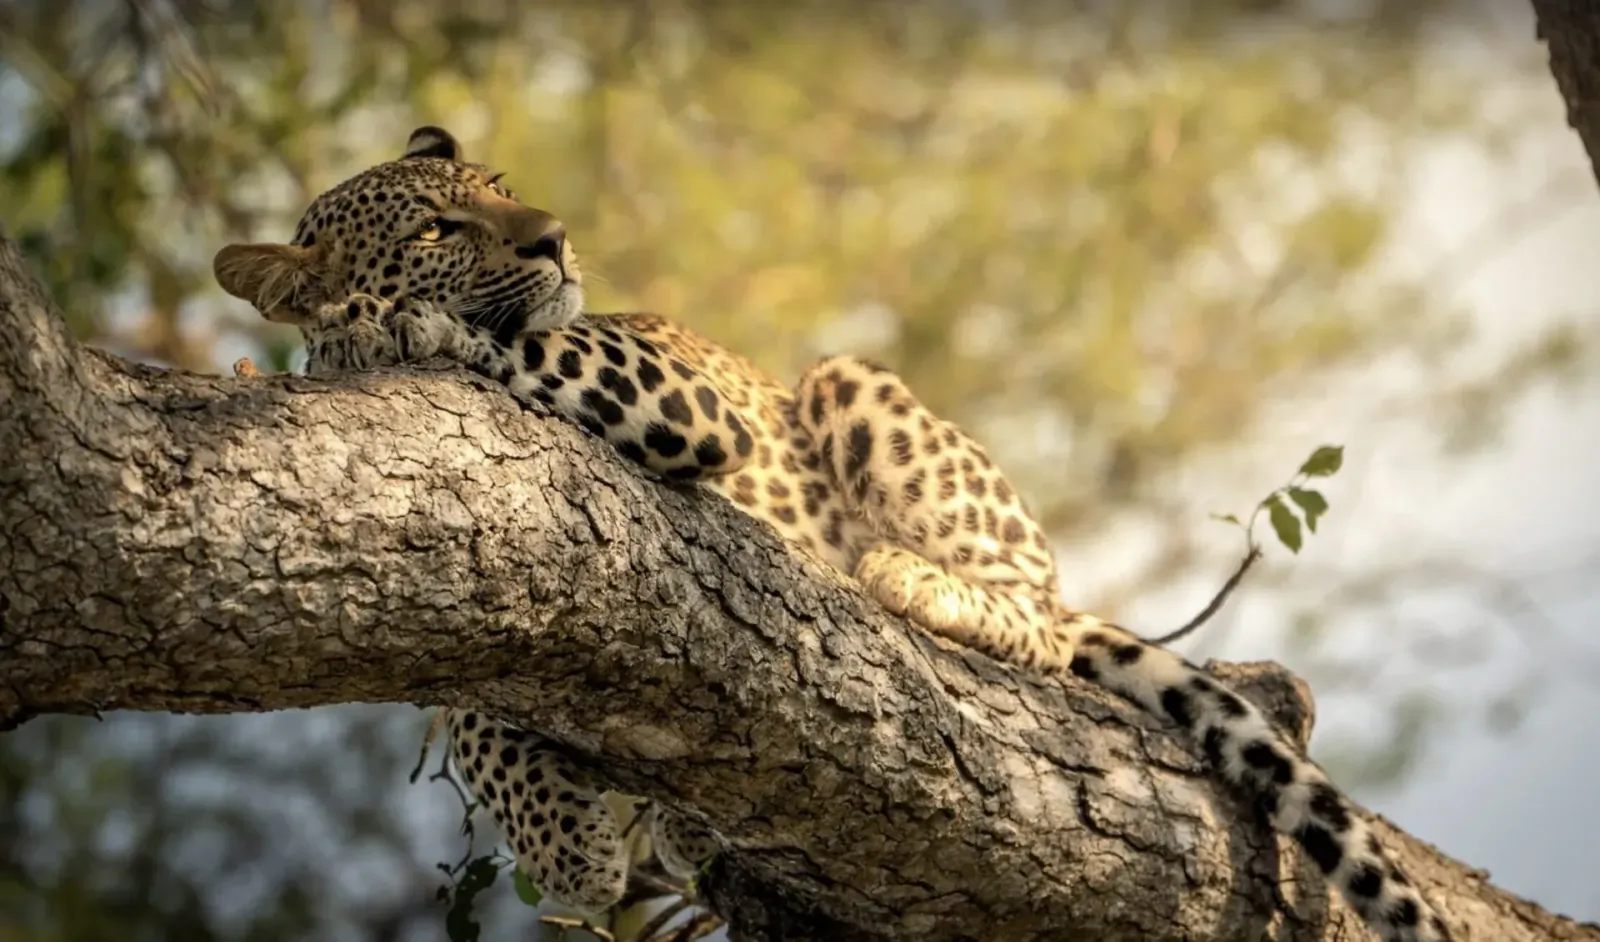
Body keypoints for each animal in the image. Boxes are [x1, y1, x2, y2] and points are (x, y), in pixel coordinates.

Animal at [212, 124, 1453, 942]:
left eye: (504, 189)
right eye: (439, 223)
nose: (557, 239)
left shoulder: (664, 387)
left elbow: (518, 343)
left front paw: (404, 329)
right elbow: (476, 720)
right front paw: (568, 841)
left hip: (847, 384)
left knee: (1043, 619)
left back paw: (898, 577)